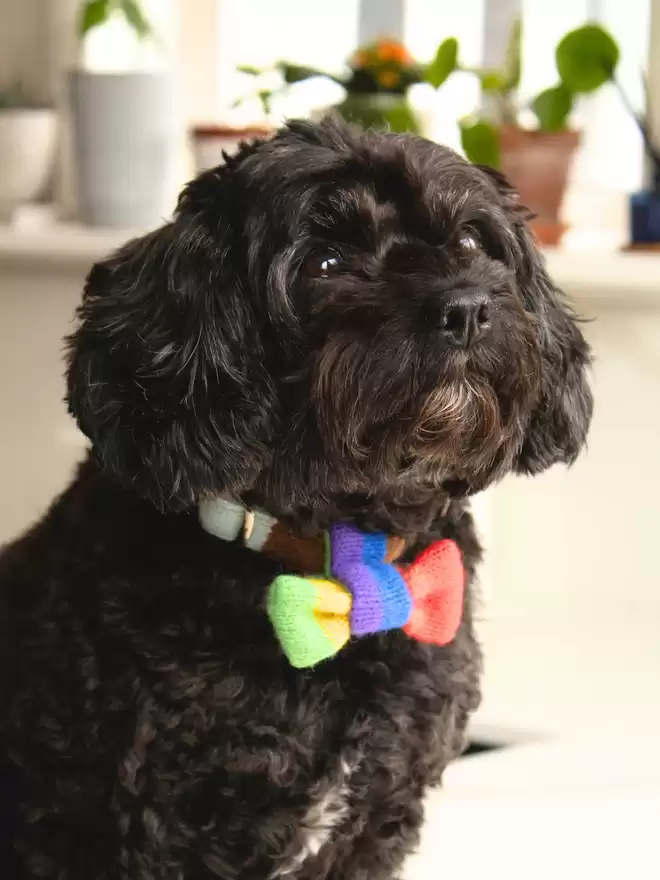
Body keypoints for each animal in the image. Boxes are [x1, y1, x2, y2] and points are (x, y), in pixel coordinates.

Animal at [0, 118, 588, 880]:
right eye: (326, 264)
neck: (347, 553)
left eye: (468, 242)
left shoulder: (377, 817)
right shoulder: (159, 829)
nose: (466, 309)